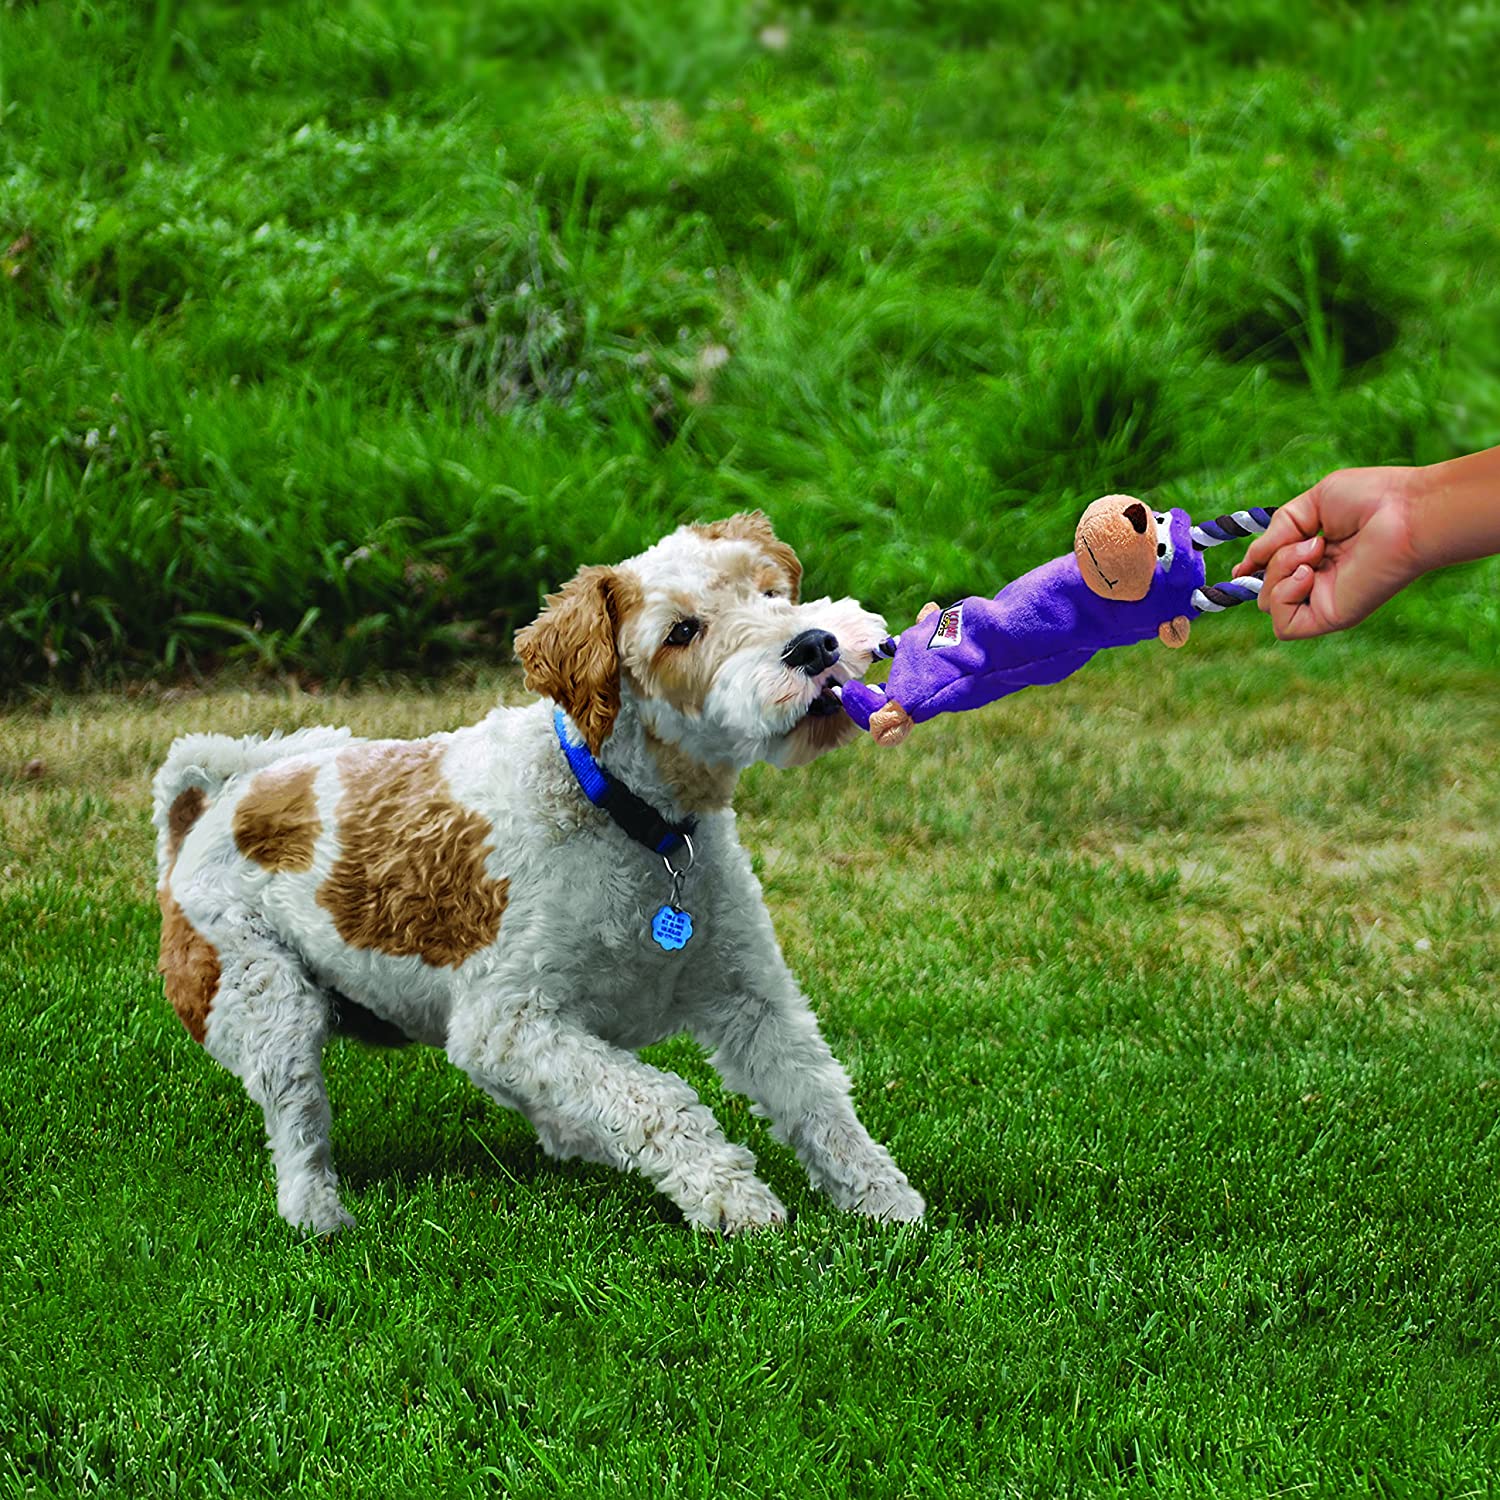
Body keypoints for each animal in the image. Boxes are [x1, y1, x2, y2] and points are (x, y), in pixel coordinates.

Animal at [155, 510, 924, 1236]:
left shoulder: (749, 993)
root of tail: (208, 807)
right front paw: (737, 1202)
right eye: (681, 632)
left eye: (768, 589)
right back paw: (319, 1217)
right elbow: (662, 1100)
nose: (815, 645)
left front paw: (887, 1204)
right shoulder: (507, 1019)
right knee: (299, 1131)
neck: (630, 816)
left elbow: (817, 1096)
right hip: (266, 998)